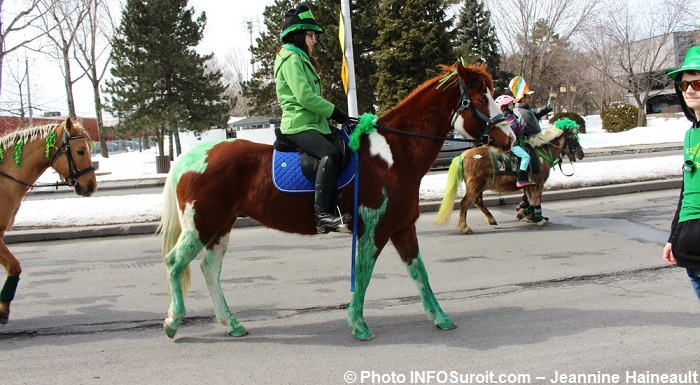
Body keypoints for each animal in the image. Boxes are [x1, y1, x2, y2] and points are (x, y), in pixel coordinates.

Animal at [159, 60, 516, 340]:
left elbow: (420, 273)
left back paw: (230, 323)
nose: (509, 137)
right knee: (176, 262)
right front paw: (358, 324)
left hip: (221, 226)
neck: (393, 153)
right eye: (481, 98)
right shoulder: (375, 229)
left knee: (208, 269)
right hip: (202, 225)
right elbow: (364, 273)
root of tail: (188, 157)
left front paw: (440, 317)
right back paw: (174, 321)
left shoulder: (402, 228)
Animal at [434, 119, 584, 234]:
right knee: (465, 203)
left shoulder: (529, 185)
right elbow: (536, 201)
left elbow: (530, 200)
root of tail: (463, 156)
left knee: (478, 202)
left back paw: (491, 219)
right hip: (475, 185)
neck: (541, 153)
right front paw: (538, 219)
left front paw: (526, 214)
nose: (581, 154)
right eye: (574, 139)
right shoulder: (538, 183)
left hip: (478, 186)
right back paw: (464, 228)